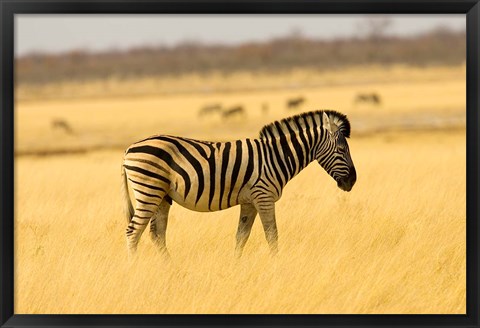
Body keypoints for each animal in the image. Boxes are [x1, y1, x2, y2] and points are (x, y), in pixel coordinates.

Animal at [122, 110, 356, 258]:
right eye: (342, 149)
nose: (352, 181)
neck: (276, 156)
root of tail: (129, 148)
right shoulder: (264, 196)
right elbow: (272, 235)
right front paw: (277, 265)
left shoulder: (249, 201)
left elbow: (241, 237)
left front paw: (236, 267)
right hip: (149, 191)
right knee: (133, 232)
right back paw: (134, 268)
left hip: (162, 196)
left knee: (157, 234)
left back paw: (170, 268)